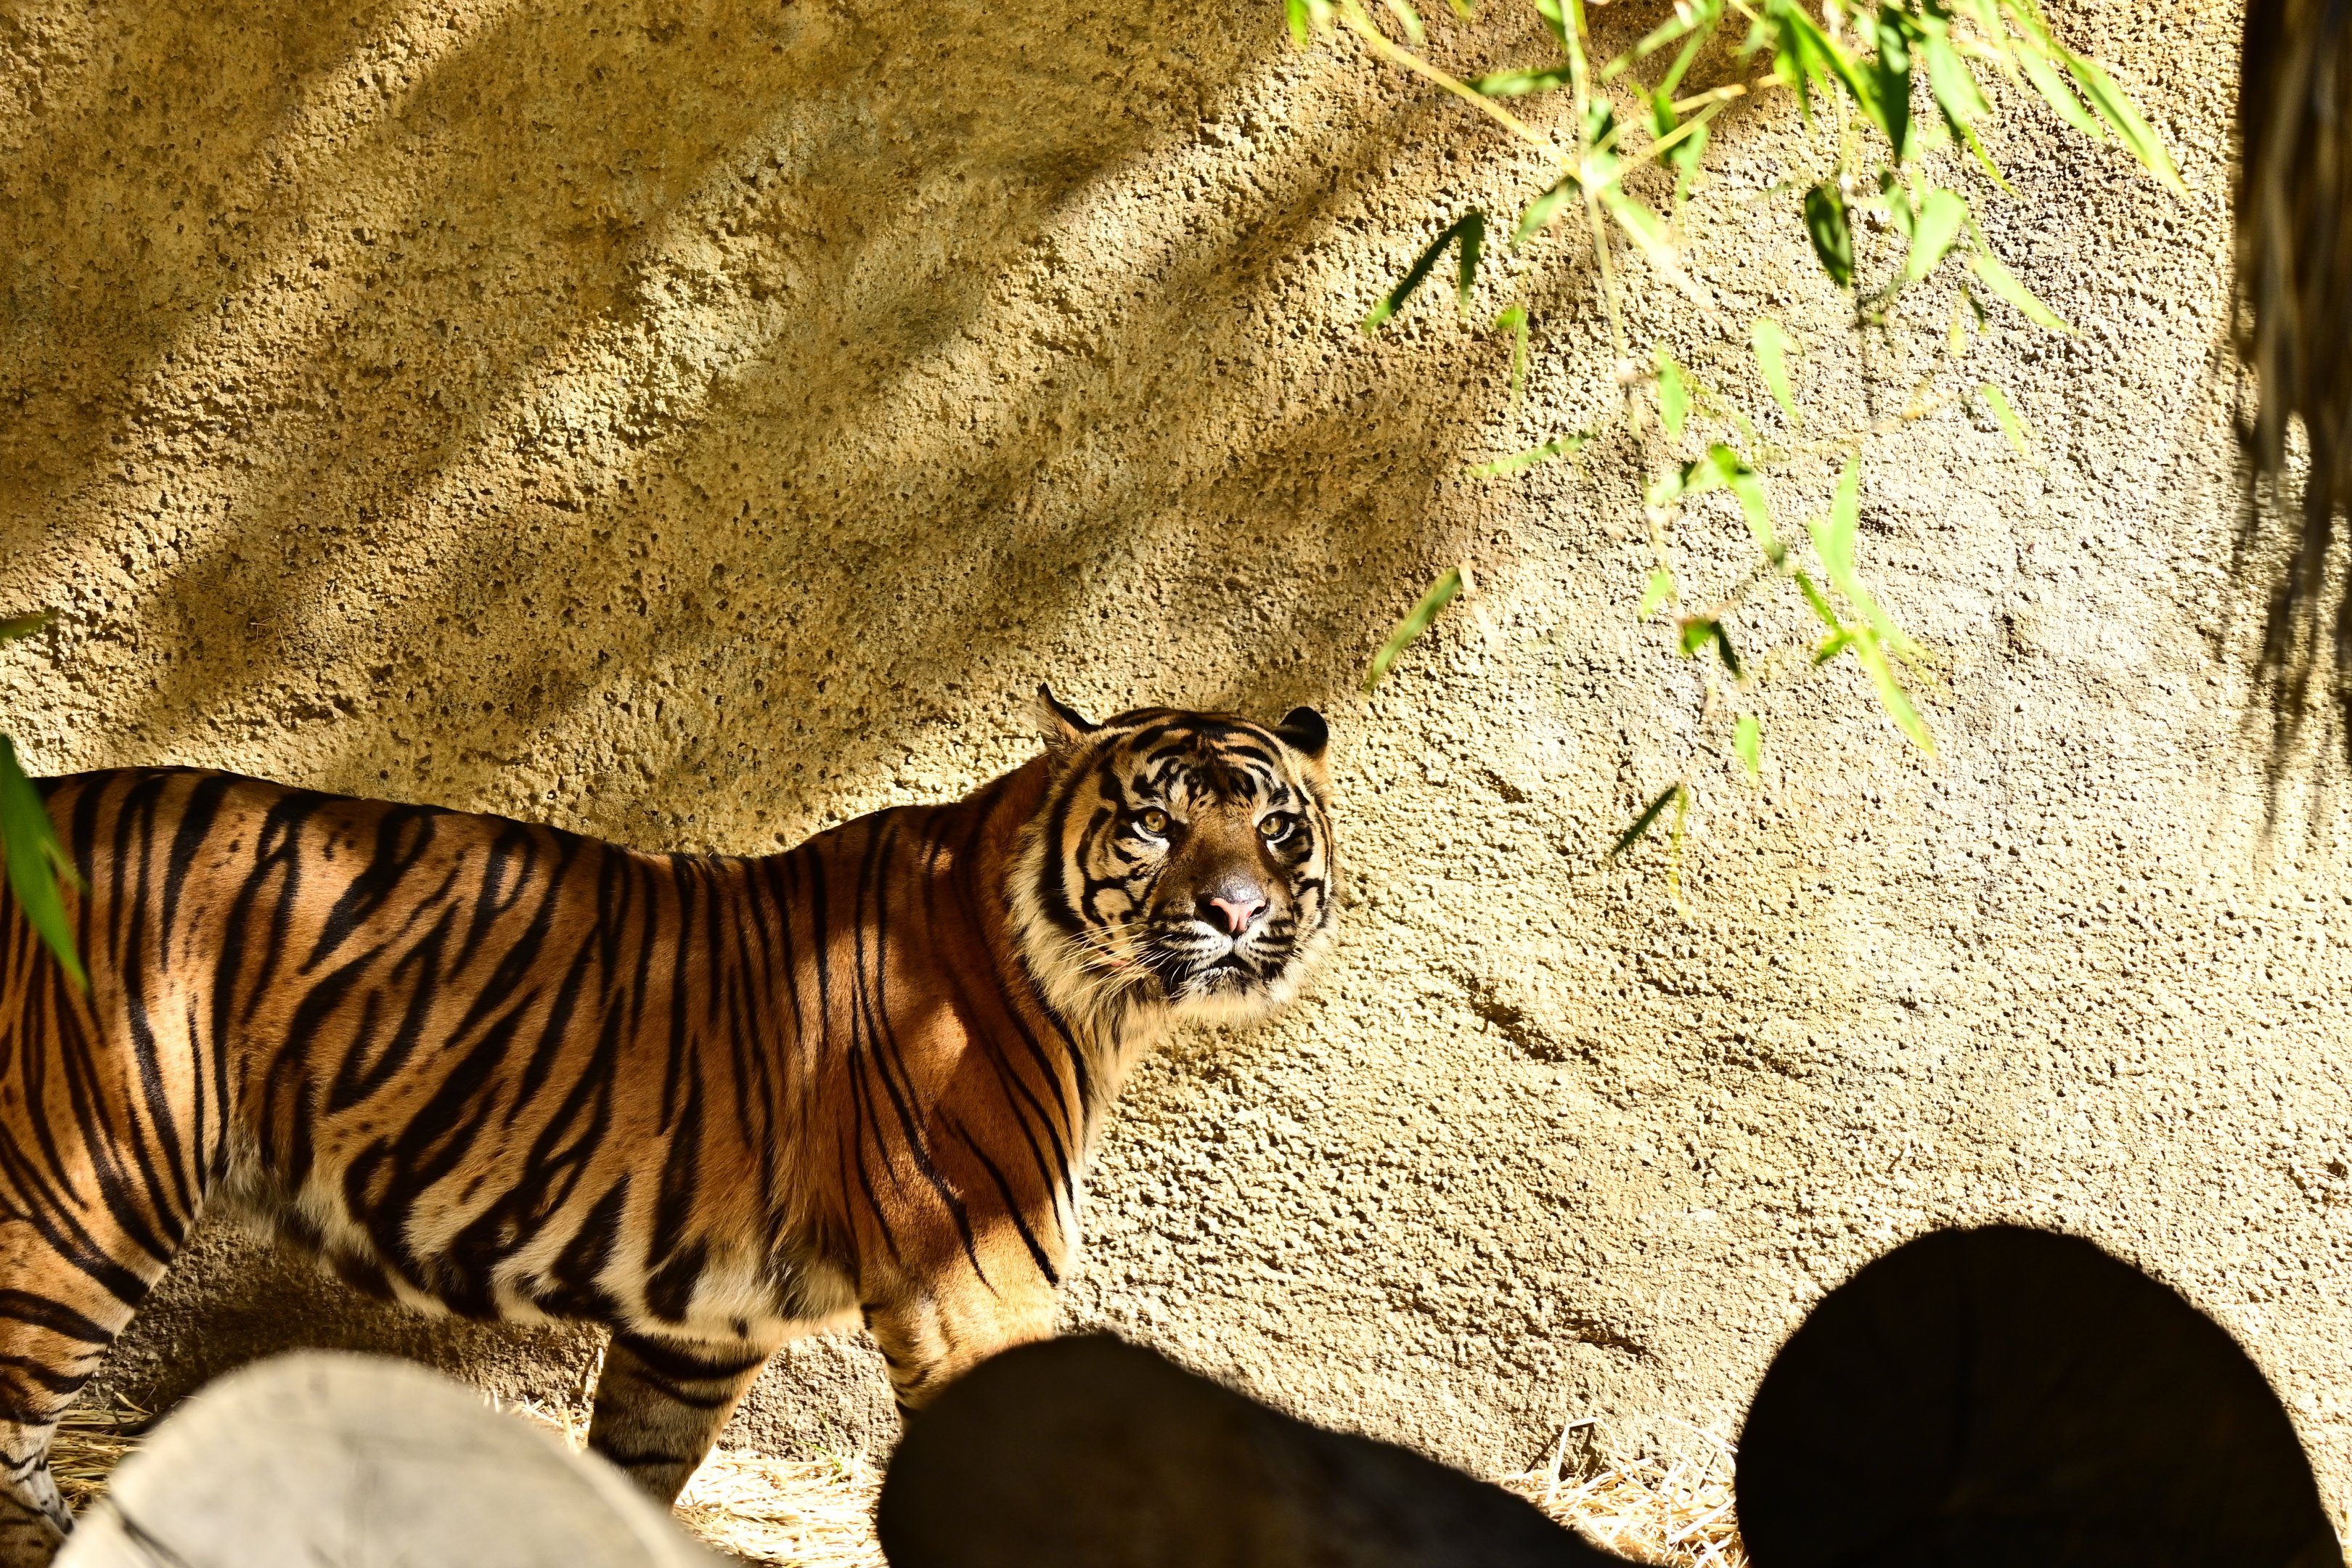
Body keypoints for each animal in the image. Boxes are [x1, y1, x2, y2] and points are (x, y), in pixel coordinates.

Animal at [0, 688, 1336, 1563]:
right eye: (1156, 825)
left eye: (1277, 827)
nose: (1236, 911)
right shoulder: (976, 1289)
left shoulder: (698, 1328)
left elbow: (634, 1472)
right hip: (84, 1196)